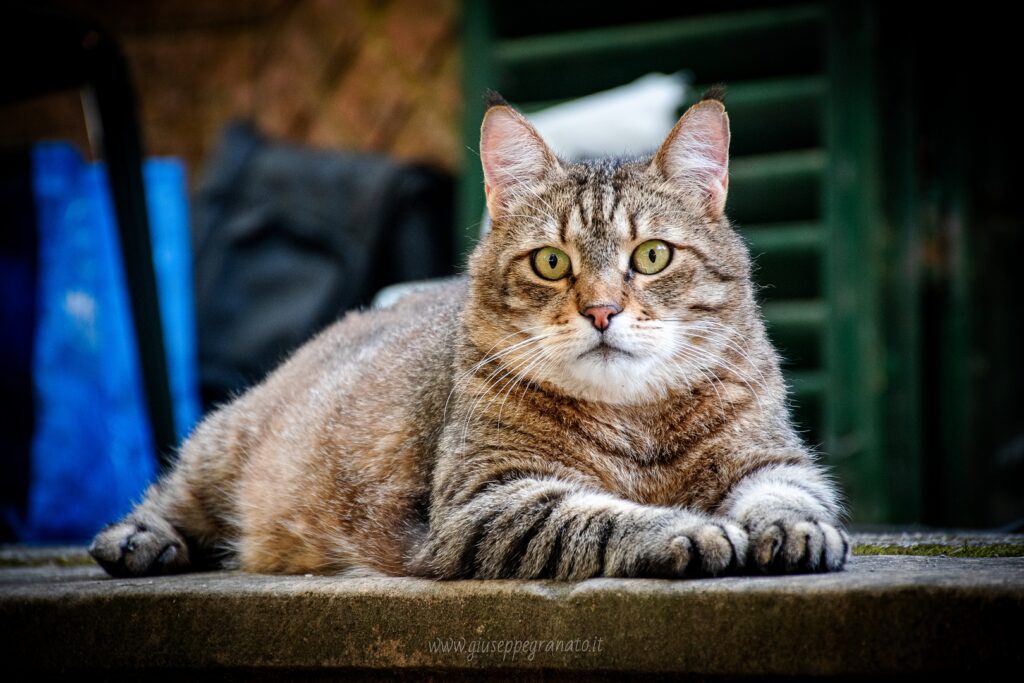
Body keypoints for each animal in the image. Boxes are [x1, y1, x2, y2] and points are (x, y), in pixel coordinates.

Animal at [92, 90, 847, 581]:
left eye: (653, 256)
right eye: (552, 263)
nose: (602, 311)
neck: (638, 425)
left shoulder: (768, 456)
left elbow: (791, 494)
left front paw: (796, 530)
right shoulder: (486, 501)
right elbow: (604, 516)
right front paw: (688, 527)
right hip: (223, 447)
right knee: (169, 496)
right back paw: (139, 541)